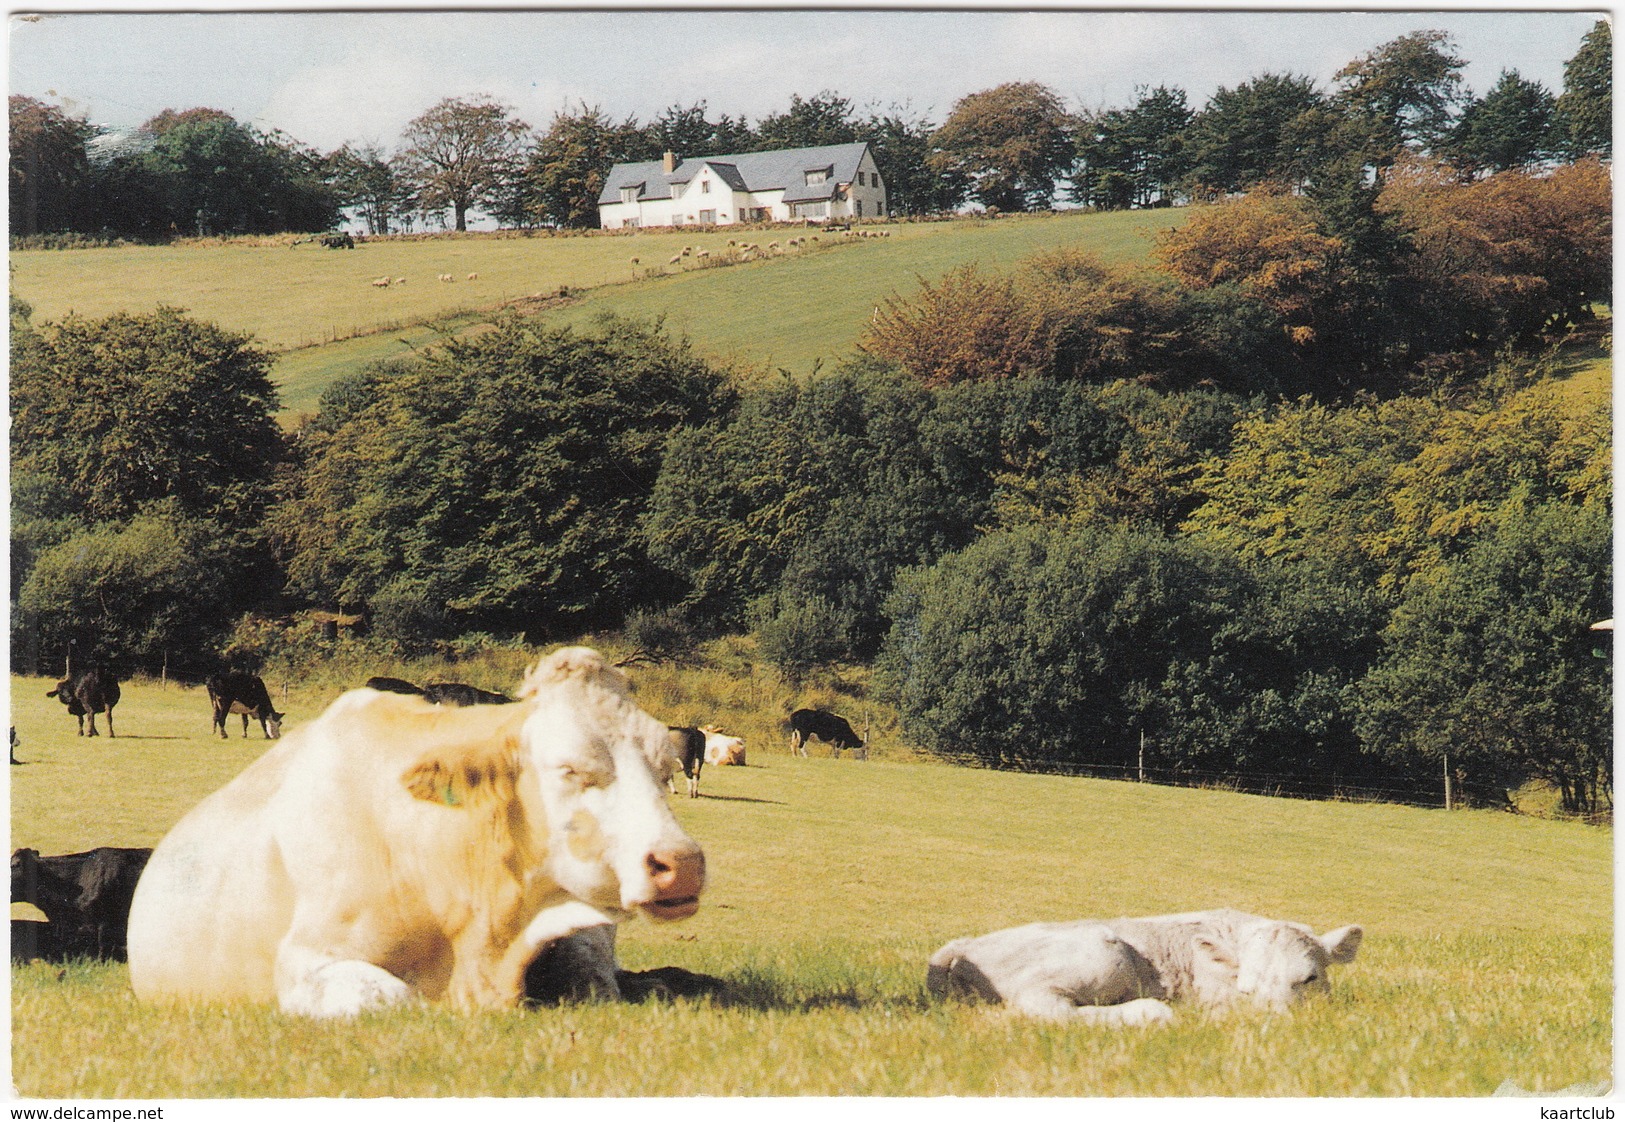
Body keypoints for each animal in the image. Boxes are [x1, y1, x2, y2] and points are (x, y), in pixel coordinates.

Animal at [123, 643, 708, 1021]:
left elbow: (603, 983)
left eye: (665, 765)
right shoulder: (304, 963)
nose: (682, 864)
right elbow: (403, 1000)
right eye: (569, 769)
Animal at [929, 910, 1358, 1021]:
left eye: (1310, 978)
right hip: (1104, 953)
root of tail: (967, 943)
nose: (1276, 1022)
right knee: (1045, 1007)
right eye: (1246, 987)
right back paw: (1152, 1012)